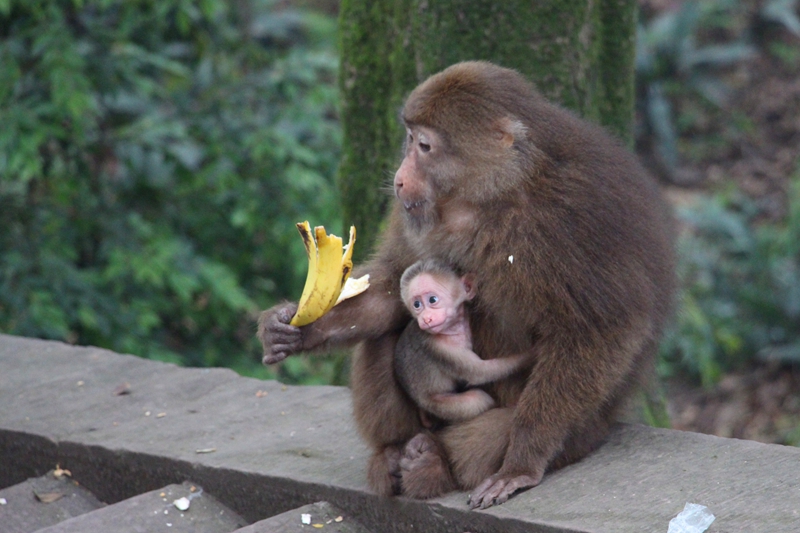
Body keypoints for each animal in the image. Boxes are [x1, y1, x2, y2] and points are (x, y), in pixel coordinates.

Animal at [396, 258, 532, 424]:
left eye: (432, 300)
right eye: (417, 305)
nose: (426, 318)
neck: (452, 328)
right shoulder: (441, 349)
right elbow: (480, 372)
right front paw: (530, 354)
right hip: (437, 404)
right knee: (478, 399)